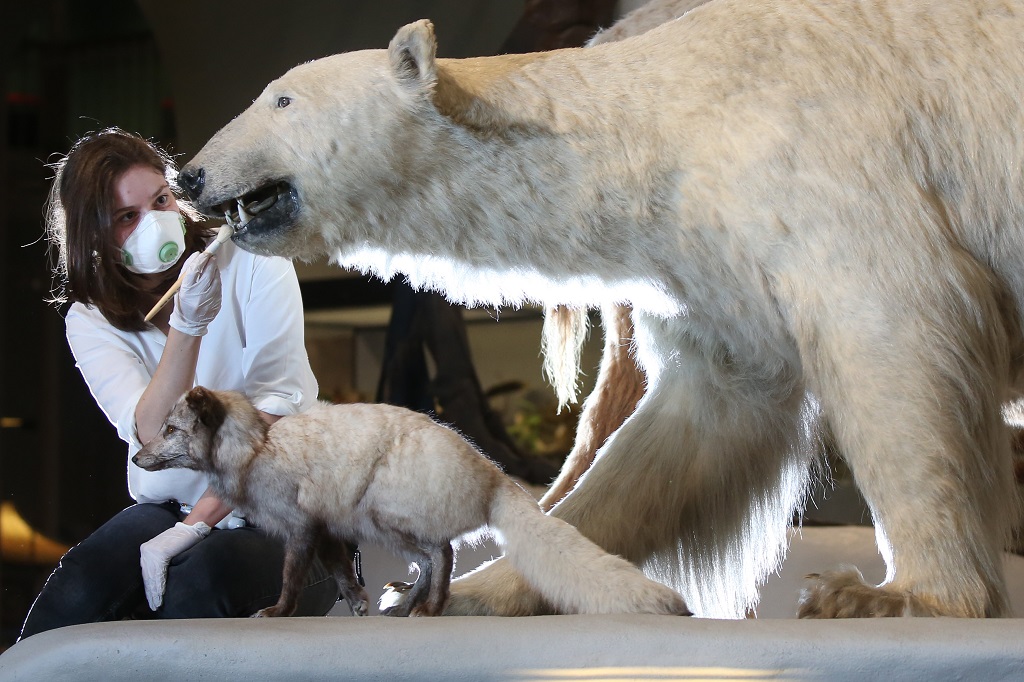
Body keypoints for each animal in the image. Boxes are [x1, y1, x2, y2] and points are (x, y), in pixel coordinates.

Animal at [130, 382, 688, 614]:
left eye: (170, 429)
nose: (135, 456)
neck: (257, 448)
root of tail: (493, 475)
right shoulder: (327, 530)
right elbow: (342, 574)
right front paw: (358, 605)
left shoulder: (301, 527)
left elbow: (290, 579)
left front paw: (277, 613)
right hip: (374, 525)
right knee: (434, 559)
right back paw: (416, 605)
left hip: (380, 516)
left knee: (442, 553)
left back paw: (429, 607)